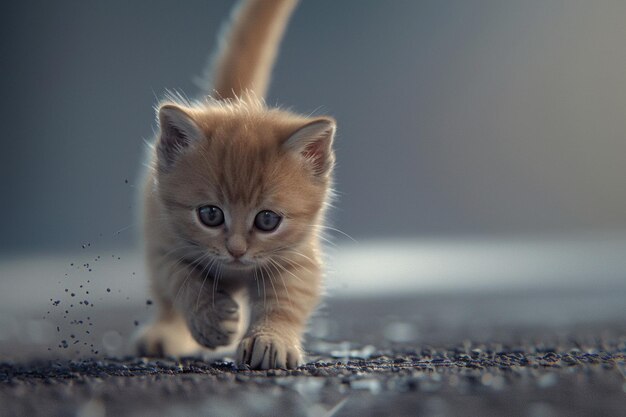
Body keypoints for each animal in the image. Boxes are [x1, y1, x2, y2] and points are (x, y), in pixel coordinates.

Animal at [134, 0, 334, 370]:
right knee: (166, 301)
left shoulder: (298, 257)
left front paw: (271, 339)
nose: (236, 250)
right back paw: (164, 334)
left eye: (267, 219)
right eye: (210, 214)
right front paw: (210, 318)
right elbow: (182, 281)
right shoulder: (163, 242)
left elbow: (287, 299)